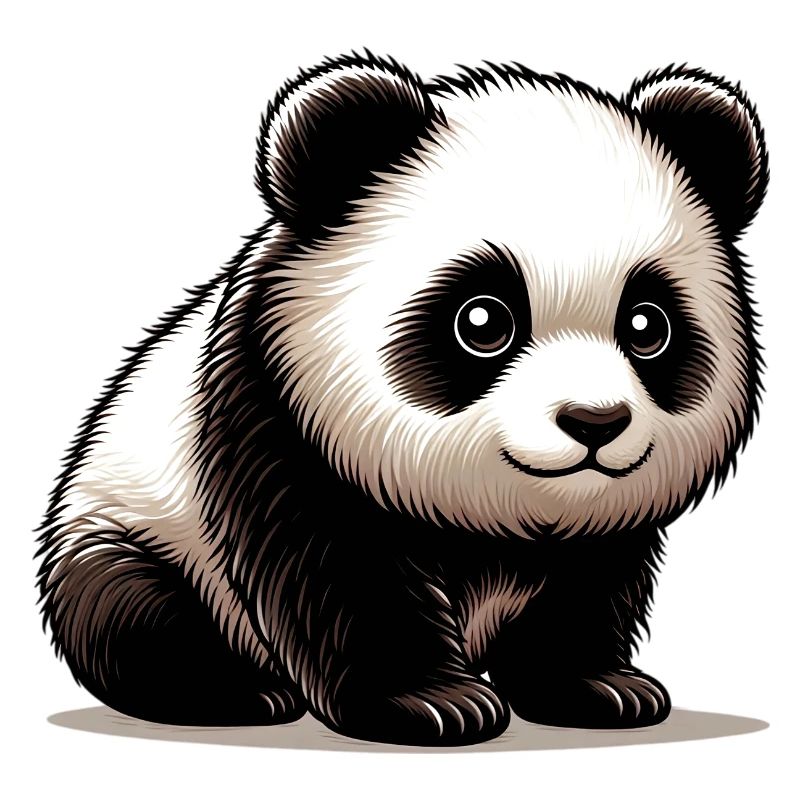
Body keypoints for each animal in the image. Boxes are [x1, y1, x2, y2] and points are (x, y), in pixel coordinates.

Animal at [37, 52, 768, 746]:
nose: (595, 422)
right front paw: (433, 702)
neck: (501, 517)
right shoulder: (278, 421)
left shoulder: (601, 527)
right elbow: (340, 574)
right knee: (131, 609)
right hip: (134, 526)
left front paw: (599, 687)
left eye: (647, 325)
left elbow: (589, 584)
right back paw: (234, 691)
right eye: (483, 320)